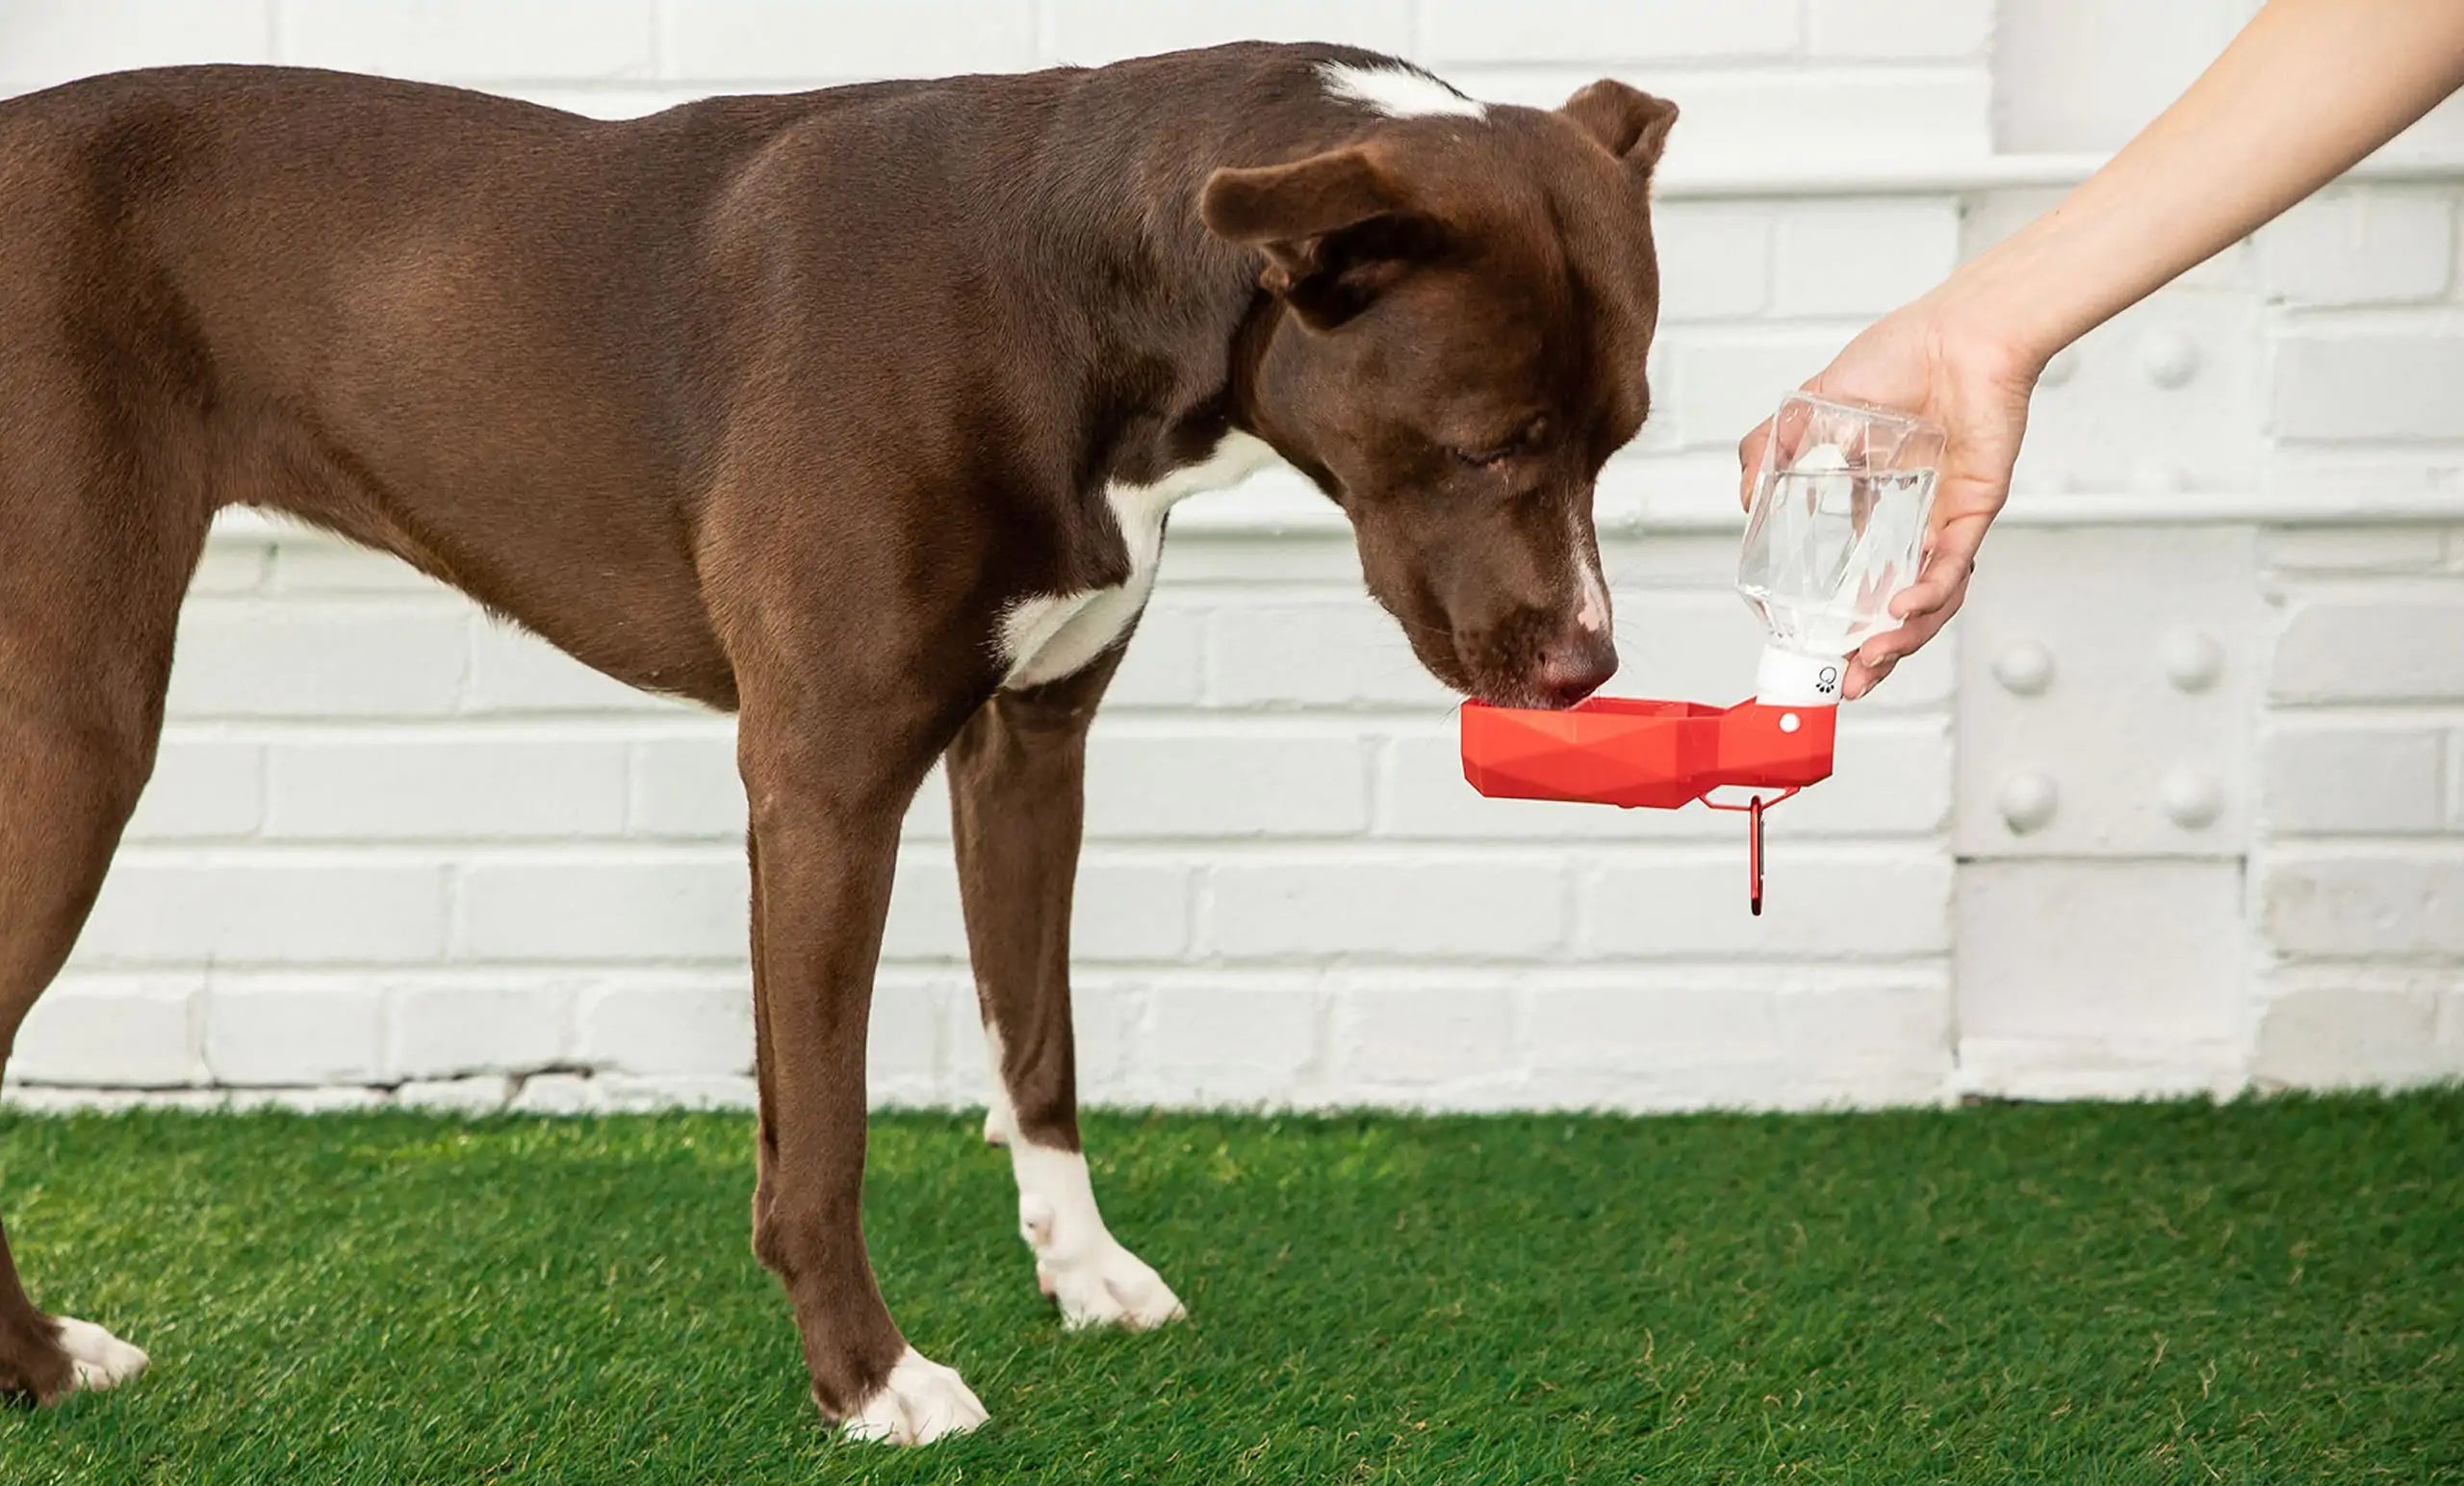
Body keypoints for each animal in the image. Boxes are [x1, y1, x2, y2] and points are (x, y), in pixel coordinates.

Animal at [0, 43, 1675, 1439]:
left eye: (1617, 440)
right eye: (1485, 444)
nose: (1590, 666)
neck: (1080, 289)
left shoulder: (1028, 747)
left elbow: (1039, 1045)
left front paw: (1084, 1272)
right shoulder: (822, 785)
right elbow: (822, 1135)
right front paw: (870, 1381)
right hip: (77, 729)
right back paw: (45, 1366)